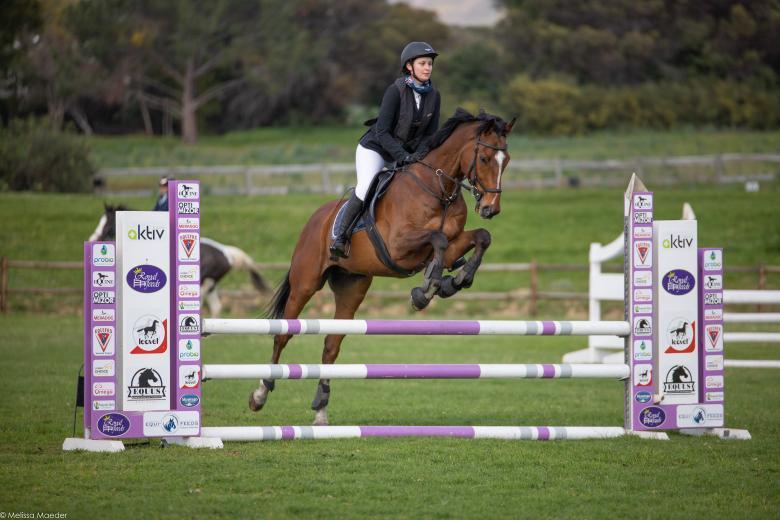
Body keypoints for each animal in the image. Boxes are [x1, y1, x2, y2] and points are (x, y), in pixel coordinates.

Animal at [89, 204, 270, 316]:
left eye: (107, 224)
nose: (93, 240)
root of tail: (226, 252)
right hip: (211, 284)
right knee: (216, 307)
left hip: (203, 283)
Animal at [250, 108, 515, 425]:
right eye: (485, 159)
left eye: (506, 160)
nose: (490, 209)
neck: (438, 188)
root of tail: (315, 218)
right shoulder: (399, 247)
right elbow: (437, 239)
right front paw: (426, 290)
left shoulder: (453, 245)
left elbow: (480, 238)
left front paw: (456, 280)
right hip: (305, 283)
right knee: (283, 334)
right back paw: (260, 394)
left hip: (351, 289)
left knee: (331, 346)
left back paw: (321, 410)